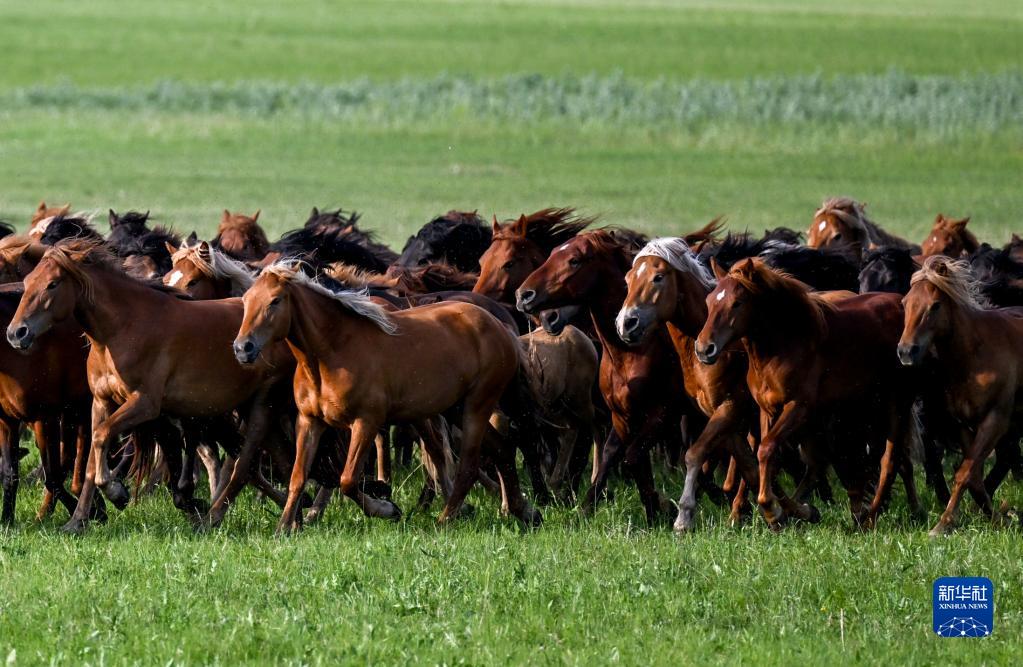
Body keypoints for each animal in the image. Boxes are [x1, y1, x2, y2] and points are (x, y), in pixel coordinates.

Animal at [7, 239, 296, 531]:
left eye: (52, 284)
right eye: (28, 281)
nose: (16, 333)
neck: (122, 328)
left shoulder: (144, 404)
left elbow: (102, 437)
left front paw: (116, 492)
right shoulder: (100, 402)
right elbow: (92, 458)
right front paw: (77, 521)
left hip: (263, 405)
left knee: (252, 460)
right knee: (273, 460)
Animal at [234, 261, 540, 531]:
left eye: (275, 301)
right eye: (246, 299)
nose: (242, 348)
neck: (332, 352)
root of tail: (500, 327)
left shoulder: (366, 422)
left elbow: (348, 479)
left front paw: (387, 509)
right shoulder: (310, 422)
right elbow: (297, 476)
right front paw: (284, 527)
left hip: (477, 406)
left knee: (469, 464)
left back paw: (446, 519)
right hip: (456, 408)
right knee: (501, 449)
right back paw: (524, 512)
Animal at [695, 257, 920, 527]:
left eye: (737, 302)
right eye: (709, 302)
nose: (704, 348)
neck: (784, 345)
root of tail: (900, 304)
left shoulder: (798, 407)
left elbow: (767, 450)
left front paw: (771, 510)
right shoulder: (767, 411)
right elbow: (769, 457)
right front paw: (795, 511)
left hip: (895, 404)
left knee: (889, 460)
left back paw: (871, 517)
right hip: (865, 409)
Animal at [896, 255, 1023, 536]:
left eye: (935, 305)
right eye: (905, 303)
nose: (906, 351)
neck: (975, 356)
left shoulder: (995, 421)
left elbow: (965, 473)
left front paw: (943, 523)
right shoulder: (963, 424)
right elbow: (972, 474)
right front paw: (995, 517)